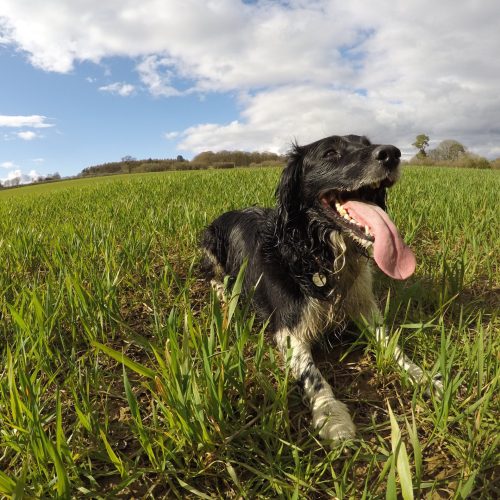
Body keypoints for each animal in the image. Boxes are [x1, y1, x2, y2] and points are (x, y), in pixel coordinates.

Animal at [199, 133, 442, 442]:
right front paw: (332, 416)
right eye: (330, 153)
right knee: (212, 277)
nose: (391, 153)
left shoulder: (364, 307)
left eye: (366, 142)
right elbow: (312, 374)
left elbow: (392, 344)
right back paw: (225, 294)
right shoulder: (288, 329)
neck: (316, 252)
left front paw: (423, 377)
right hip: (210, 242)